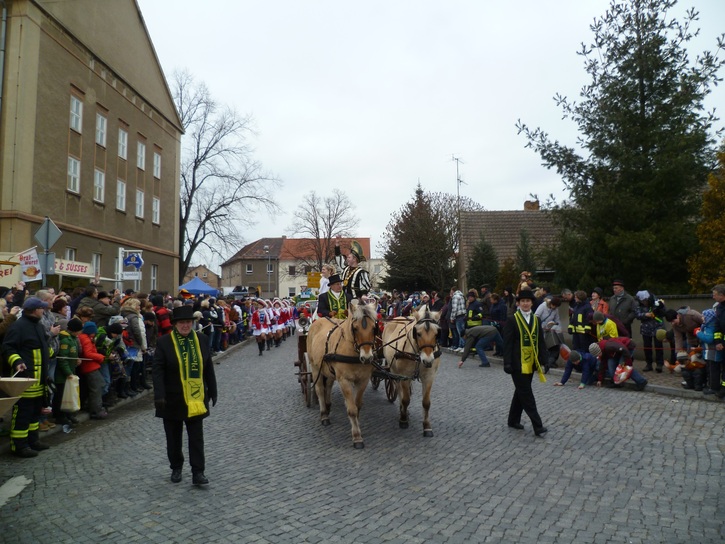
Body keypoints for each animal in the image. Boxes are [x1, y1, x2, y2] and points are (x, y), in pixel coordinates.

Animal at [306, 300, 378, 448]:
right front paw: (357, 437)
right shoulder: (344, 381)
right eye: (355, 328)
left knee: (328, 385)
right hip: (315, 368)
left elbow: (357, 405)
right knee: (320, 389)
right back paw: (324, 415)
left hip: (329, 370)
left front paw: (357, 425)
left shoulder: (363, 380)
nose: (367, 358)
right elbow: (351, 409)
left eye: (374, 328)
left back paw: (328, 406)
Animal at [384, 306, 442, 438]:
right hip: (395, 372)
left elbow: (426, 402)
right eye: (418, 333)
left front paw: (427, 427)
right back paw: (402, 411)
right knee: (400, 392)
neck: (418, 355)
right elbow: (406, 399)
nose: (428, 361)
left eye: (437, 334)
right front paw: (403, 420)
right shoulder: (404, 376)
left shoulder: (429, 376)